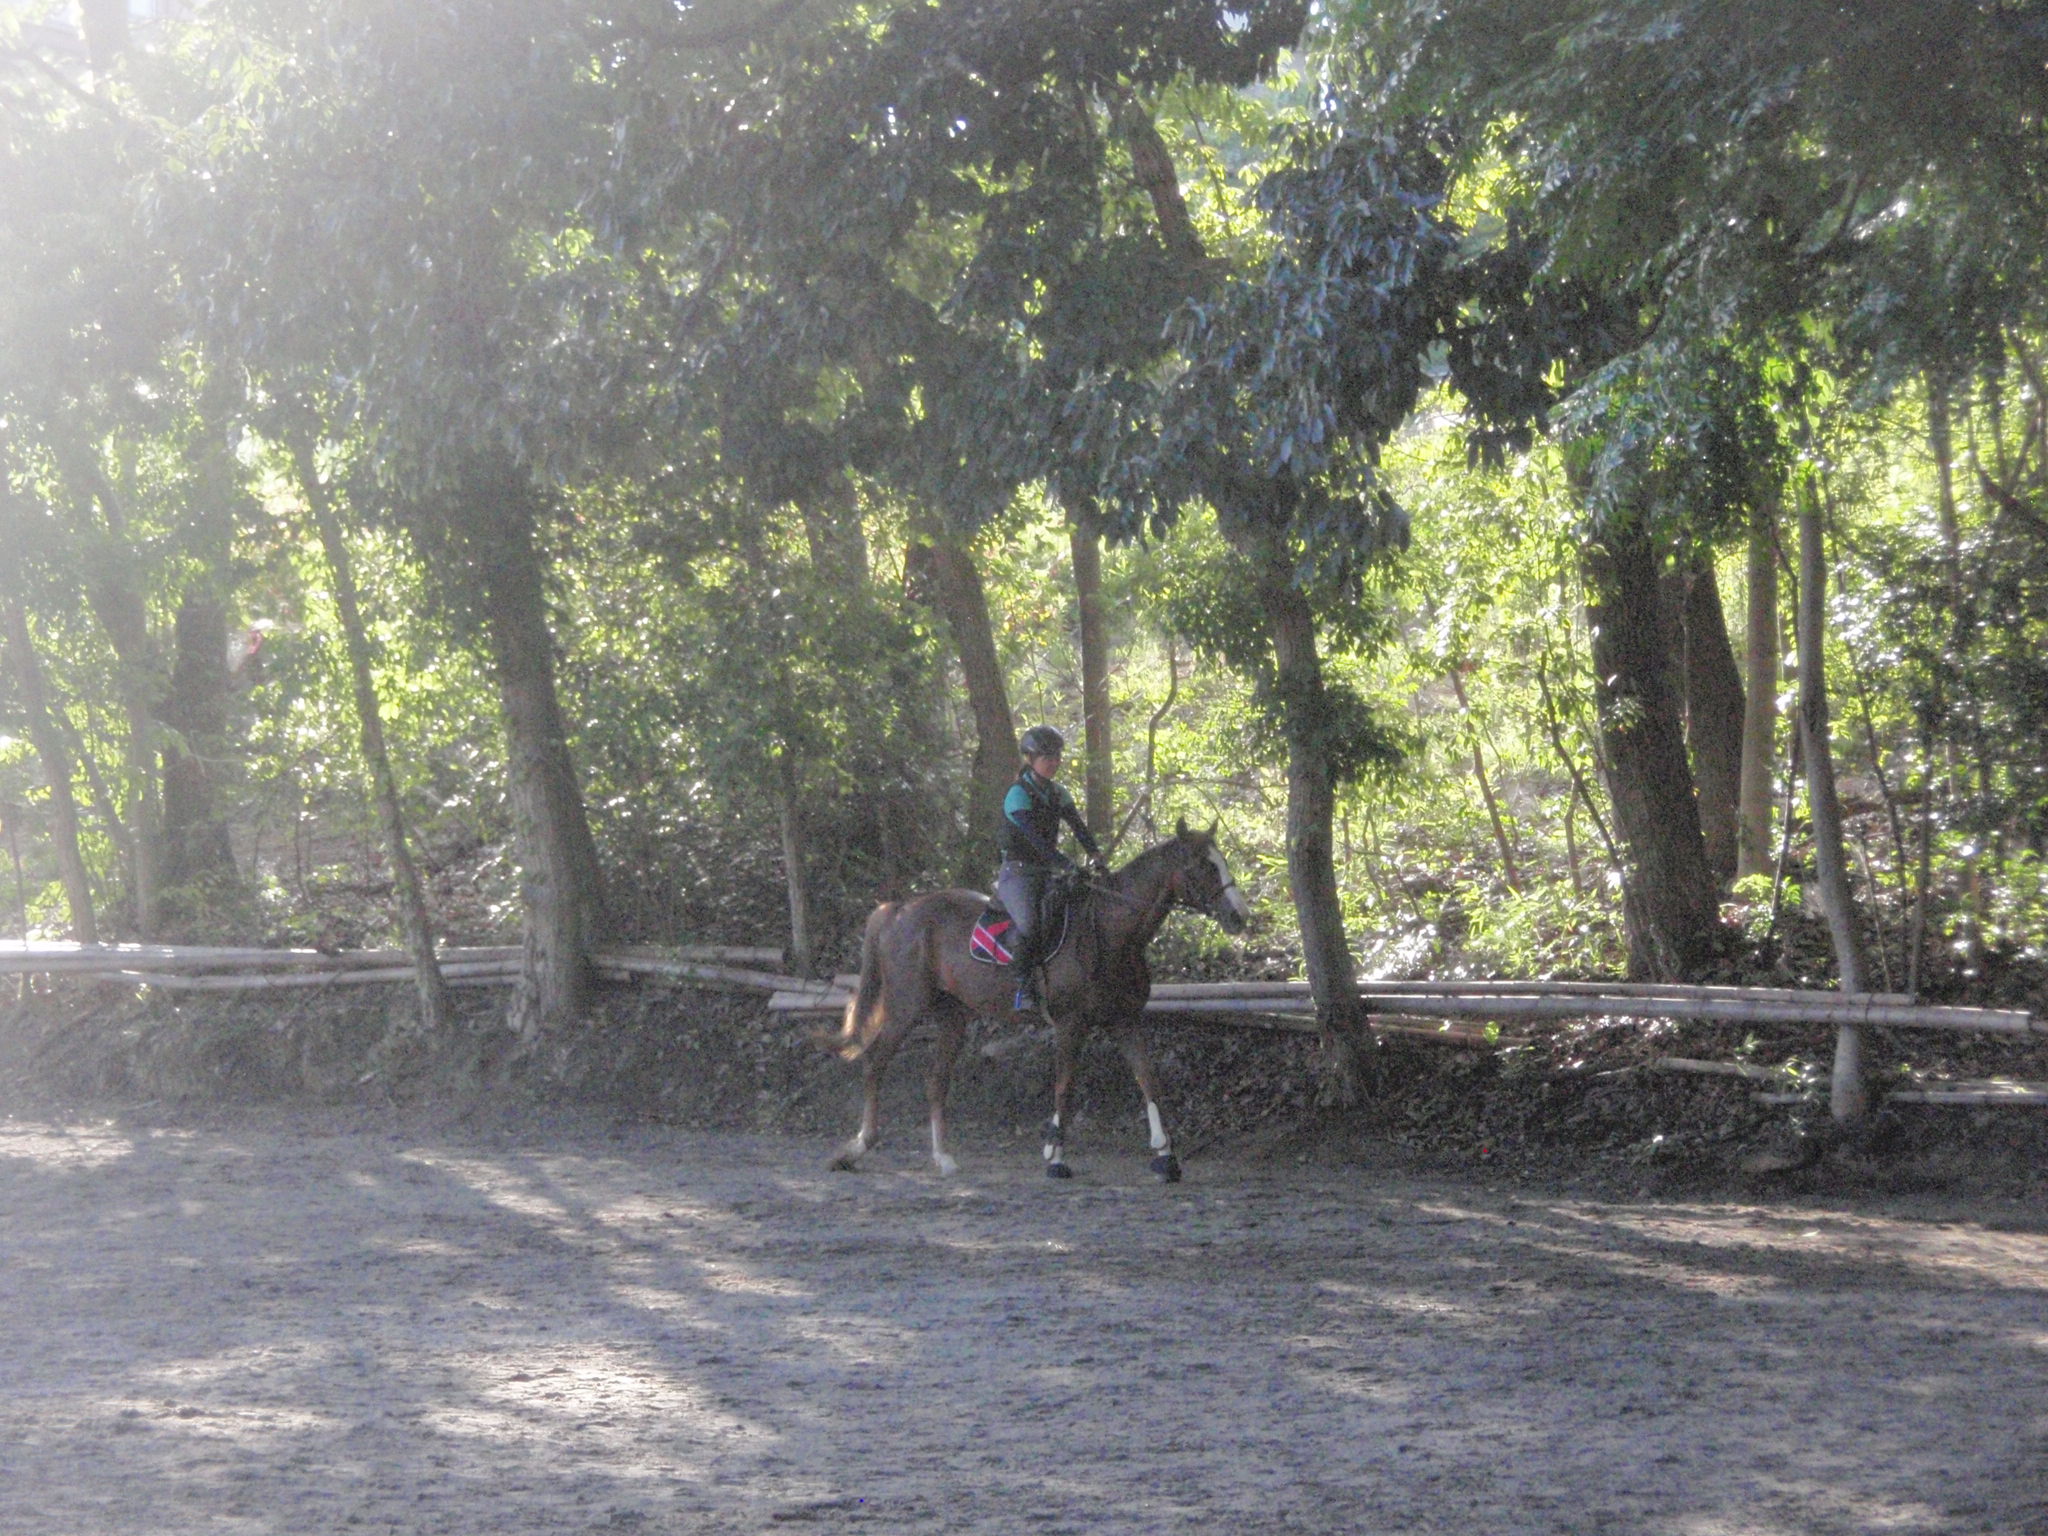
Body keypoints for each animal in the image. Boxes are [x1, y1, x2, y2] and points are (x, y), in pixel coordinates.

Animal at [823, 820, 1251, 1182]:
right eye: (1203, 866)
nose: (1240, 917)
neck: (1111, 932)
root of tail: (898, 910)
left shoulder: (1124, 1020)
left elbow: (1149, 1081)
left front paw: (1165, 1156)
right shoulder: (1071, 1025)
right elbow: (1065, 1087)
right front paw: (1056, 1157)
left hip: (953, 1016)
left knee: (936, 1080)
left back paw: (943, 1158)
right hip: (905, 1008)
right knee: (875, 1063)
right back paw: (856, 1148)